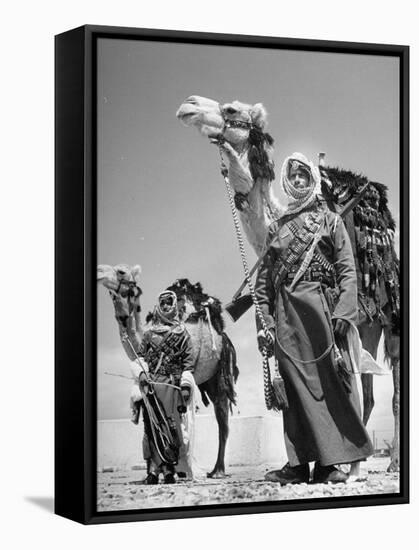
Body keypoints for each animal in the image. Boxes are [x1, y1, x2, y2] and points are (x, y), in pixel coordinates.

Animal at [96, 264, 238, 478]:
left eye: (121, 271)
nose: (98, 272)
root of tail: (224, 336)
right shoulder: (146, 385)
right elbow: (149, 421)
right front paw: (154, 473)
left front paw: (179, 469)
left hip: (218, 372)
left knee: (223, 420)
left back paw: (217, 471)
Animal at [176, 96, 402, 474]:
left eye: (231, 110)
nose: (187, 105)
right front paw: (305, 465)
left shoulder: (342, 312)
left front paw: (341, 466)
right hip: (369, 324)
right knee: (370, 391)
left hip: (392, 316)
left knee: (394, 388)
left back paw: (391, 462)